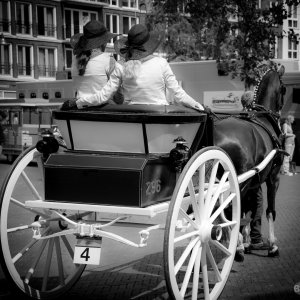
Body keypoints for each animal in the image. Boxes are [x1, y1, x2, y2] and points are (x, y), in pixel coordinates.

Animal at [212, 65, 284, 258]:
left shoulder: (254, 181)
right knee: (229, 210)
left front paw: (247, 241)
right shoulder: (274, 177)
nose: (280, 113)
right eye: (284, 88)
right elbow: (269, 211)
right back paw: (235, 248)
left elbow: (248, 210)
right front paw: (273, 245)